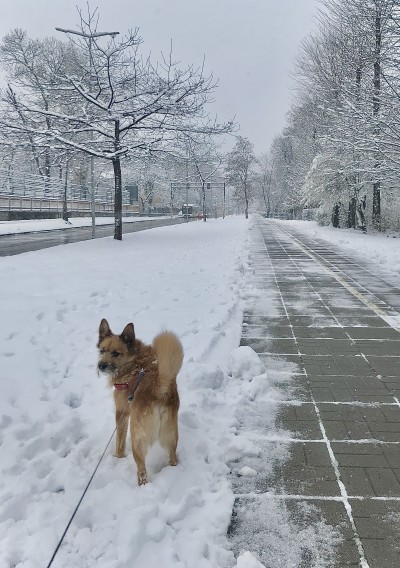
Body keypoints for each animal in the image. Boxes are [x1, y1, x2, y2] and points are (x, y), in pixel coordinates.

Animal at [97, 318, 184, 486]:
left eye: (115, 353)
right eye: (102, 351)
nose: (101, 366)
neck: (134, 362)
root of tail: (158, 387)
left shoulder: (122, 413)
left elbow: (119, 440)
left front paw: (117, 457)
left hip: (137, 439)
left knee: (142, 471)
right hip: (171, 435)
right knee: (173, 458)